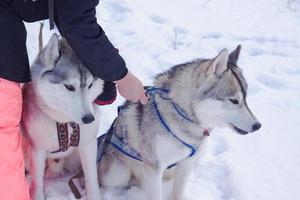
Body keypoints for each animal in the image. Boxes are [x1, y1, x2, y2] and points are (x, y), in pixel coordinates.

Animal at [21, 33, 103, 199]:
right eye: (70, 87)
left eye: (90, 85)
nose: (88, 119)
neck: (63, 122)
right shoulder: (37, 149)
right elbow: (37, 183)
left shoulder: (88, 145)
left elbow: (92, 178)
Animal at [95, 45, 260, 200]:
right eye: (234, 100)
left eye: (245, 98)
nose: (258, 125)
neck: (184, 113)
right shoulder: (154, 168)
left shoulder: (186, 163)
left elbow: (178, 193)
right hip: (116, 174)